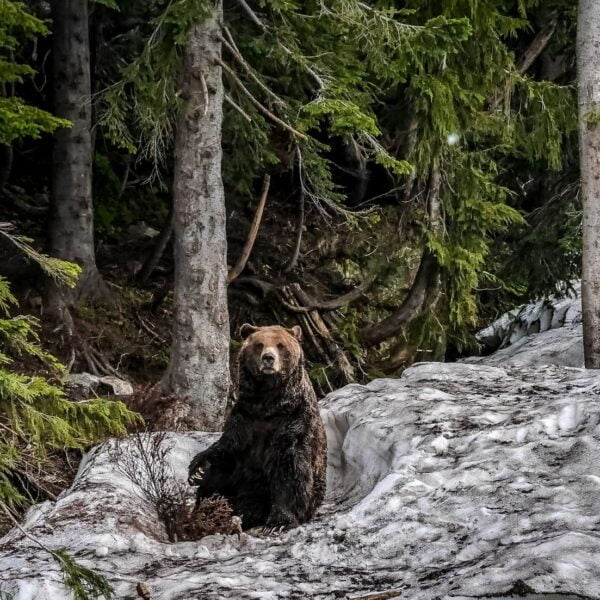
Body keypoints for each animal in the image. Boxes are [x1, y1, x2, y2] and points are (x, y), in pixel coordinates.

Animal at [189, 324, 326, 528]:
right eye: (259, 344)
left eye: (280, 345)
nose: (268, 358)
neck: (268, 404)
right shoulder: (244, 419)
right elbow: (225, 448)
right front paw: (197, 470)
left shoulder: (295, 419)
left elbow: (290, 469)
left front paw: (280, 521)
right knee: (218, 477)